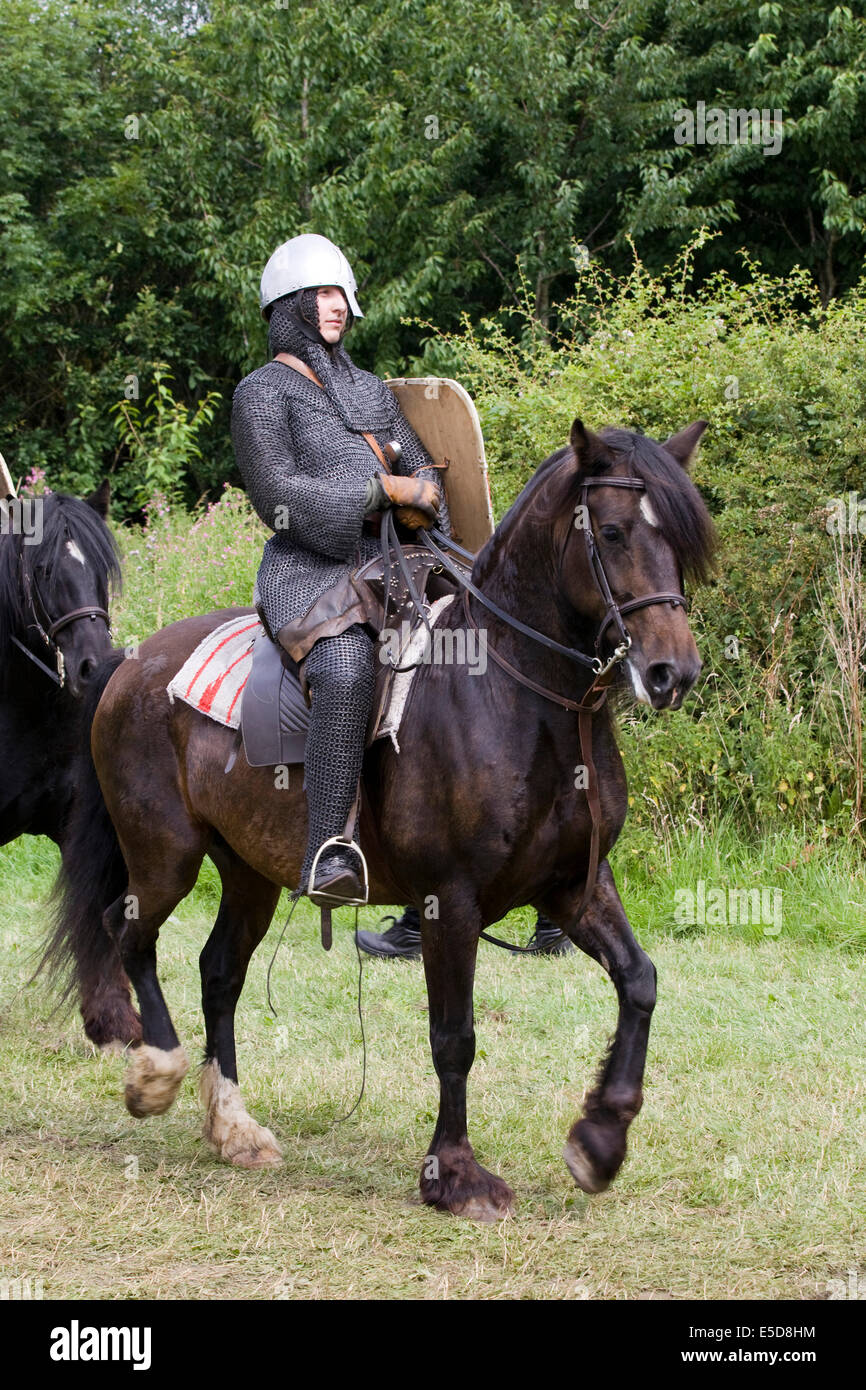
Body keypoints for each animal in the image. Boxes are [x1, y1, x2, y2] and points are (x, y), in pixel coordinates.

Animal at [44, 419, 717, 1217]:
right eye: (611, 531)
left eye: (679, 539)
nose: (673, 673)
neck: (513, 696)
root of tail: (129, 663)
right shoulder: (449, 902)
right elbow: (454, 1036)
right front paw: (455, 1174)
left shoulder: (573, 888)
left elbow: (639, 981)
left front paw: (600, 1140)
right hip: (164, 855)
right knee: (129, 936)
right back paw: (155, 1073)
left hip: (248, 873)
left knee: (218, 973)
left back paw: (233, 1127)